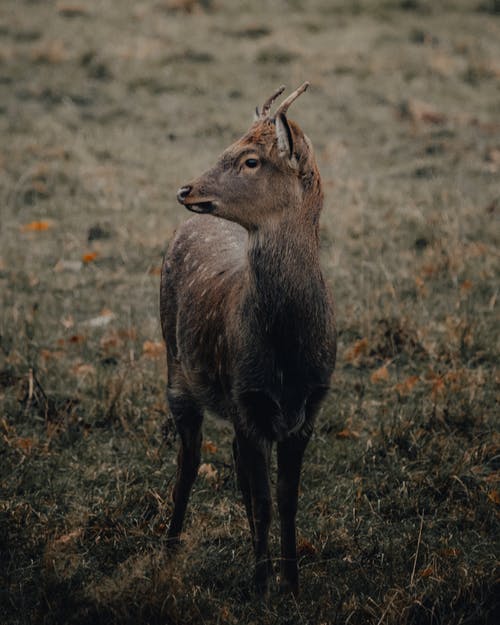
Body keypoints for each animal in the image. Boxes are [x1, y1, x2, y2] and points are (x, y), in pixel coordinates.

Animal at [161, 83, 336, 596]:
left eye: (251, 159)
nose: (186, 188)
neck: (286, 355)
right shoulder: (246, 398)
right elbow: (263, 501)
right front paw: (261, 586)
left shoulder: (308, 409)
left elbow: (287, 501)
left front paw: (292, 584)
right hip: (176, 371)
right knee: (187, 465)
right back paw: (169, 548)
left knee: (233, 469)